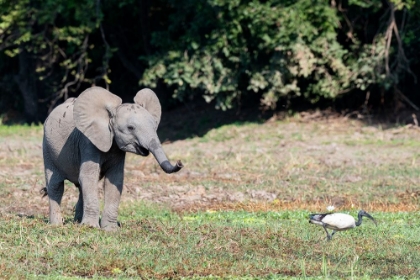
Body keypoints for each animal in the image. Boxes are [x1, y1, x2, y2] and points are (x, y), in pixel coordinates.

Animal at [41, 87, 184, 230]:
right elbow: (89, 177)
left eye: (155, 126)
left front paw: (110, 230)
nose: (179, 162)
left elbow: (115, 180)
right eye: (130, 128)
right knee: (56, 185)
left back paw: (77, 222)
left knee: (80, 187)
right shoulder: (88, 142)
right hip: (47, 147)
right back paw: (57, 225)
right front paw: (91, 228)